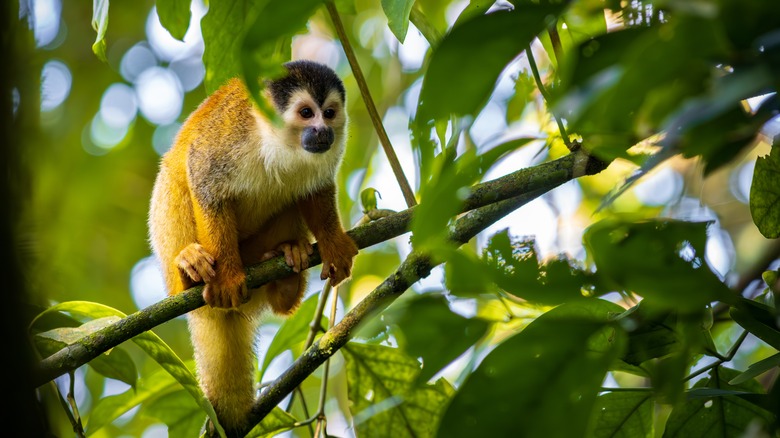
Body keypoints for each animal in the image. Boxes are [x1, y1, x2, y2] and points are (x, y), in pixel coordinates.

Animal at [148, 60, 358, 432]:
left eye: (330, 113)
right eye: (307, 113)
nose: (323, 131)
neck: (276, 142)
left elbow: (315, 190)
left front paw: (332, 243)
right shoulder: (227, 138)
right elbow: (204, 182)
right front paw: (227, 277)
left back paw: (285, 274)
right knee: (173, 178)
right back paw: (189, 274)